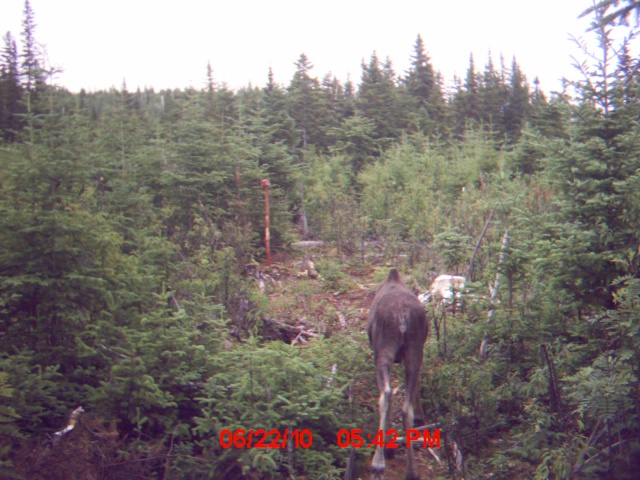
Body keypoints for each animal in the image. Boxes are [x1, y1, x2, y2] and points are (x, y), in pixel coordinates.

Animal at [368, 270, 428, 480]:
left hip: (383, 350)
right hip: (413, 349)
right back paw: (411, 471)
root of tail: (402, 317)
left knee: (386, 394)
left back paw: (379, 462)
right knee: (404, 406)